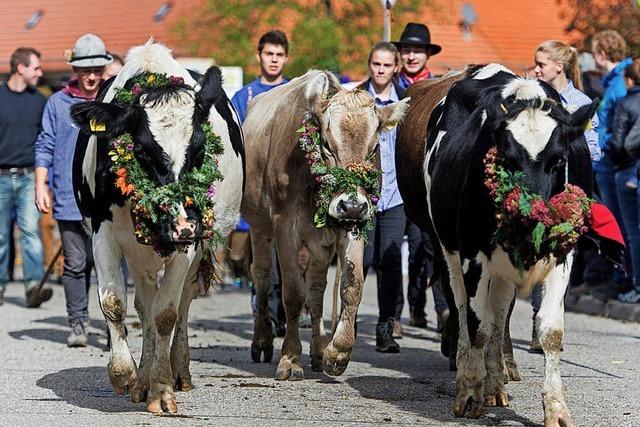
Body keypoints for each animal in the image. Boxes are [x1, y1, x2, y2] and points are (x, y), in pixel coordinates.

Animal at [70, 40, 244, 414]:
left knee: (182, 303)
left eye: (200, 149)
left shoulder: (189, 243)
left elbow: (166, 313)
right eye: (142, 151)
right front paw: (126, 374)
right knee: (144, 305)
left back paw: (177, 372)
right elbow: (115, 303)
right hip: (140, 253)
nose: (182, 225)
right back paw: (143, 378)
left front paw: (162, 388)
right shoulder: (103, 232)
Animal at [240, 71, 410, 382]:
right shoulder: (285, 228)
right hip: (258, 226)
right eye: (327, 145)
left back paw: (318, 351)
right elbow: (293, 293)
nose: (351, 205)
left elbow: (351, 287)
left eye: (374, 148)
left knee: (317, 288)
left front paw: (337, 352)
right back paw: (262, 341)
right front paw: (290, 359)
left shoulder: (353, 226)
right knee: (262, 276)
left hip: (320, 243)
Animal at [418, 64, 596, 427]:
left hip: (501, 271)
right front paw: (470, 394)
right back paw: (470, 379)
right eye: (507, 159)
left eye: (559, 160)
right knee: (464, 312)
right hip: (448, 251)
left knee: (499, 317)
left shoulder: (563, 256)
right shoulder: (472, 256)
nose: (533, 214)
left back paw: (495, 384)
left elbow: (550, 332)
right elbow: (476, 327)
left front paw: (556, 408)